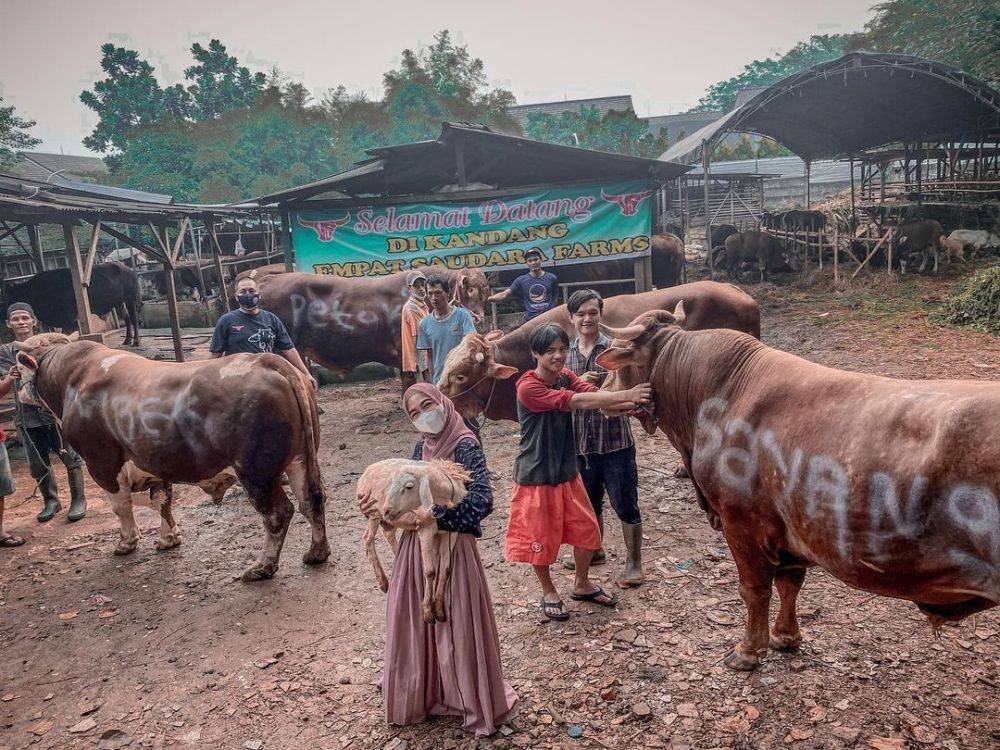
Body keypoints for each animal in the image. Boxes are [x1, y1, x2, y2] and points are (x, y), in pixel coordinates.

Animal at [358, 462, 470, 624]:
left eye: (409, 486)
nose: (387, 509)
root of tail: (366, 472)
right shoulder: (426, 529)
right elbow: (430, 571)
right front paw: (428, 611)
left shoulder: (452, 532)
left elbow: (446, 569)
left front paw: (439, 609)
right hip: (374, 512)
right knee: (368, 538)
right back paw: (383, 581)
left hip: (392, 519)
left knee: (388, 533)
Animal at [596, 308, 996, 672]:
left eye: (619, 358)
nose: (600, 391)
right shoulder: (793, 528)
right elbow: (790, 583)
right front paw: (785, 637)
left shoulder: (741, 522)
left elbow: (754, 589)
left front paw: (748, 650)